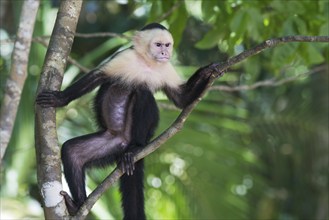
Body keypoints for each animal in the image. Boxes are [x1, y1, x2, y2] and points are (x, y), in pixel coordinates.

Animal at [36, 23, 215, 219]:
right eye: (158, 45)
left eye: (167, 45)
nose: (165, 53)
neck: (147, 63)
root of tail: (125, 143)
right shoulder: (125, 57)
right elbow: (97, 76)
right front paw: (60, 99)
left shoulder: (166, 69)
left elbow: (182, 100)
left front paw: (206, 73)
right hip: (111, 143)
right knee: (72, 152)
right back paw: (77, 206)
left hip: (137, 137)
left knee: (143, 93)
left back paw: (135, 147)